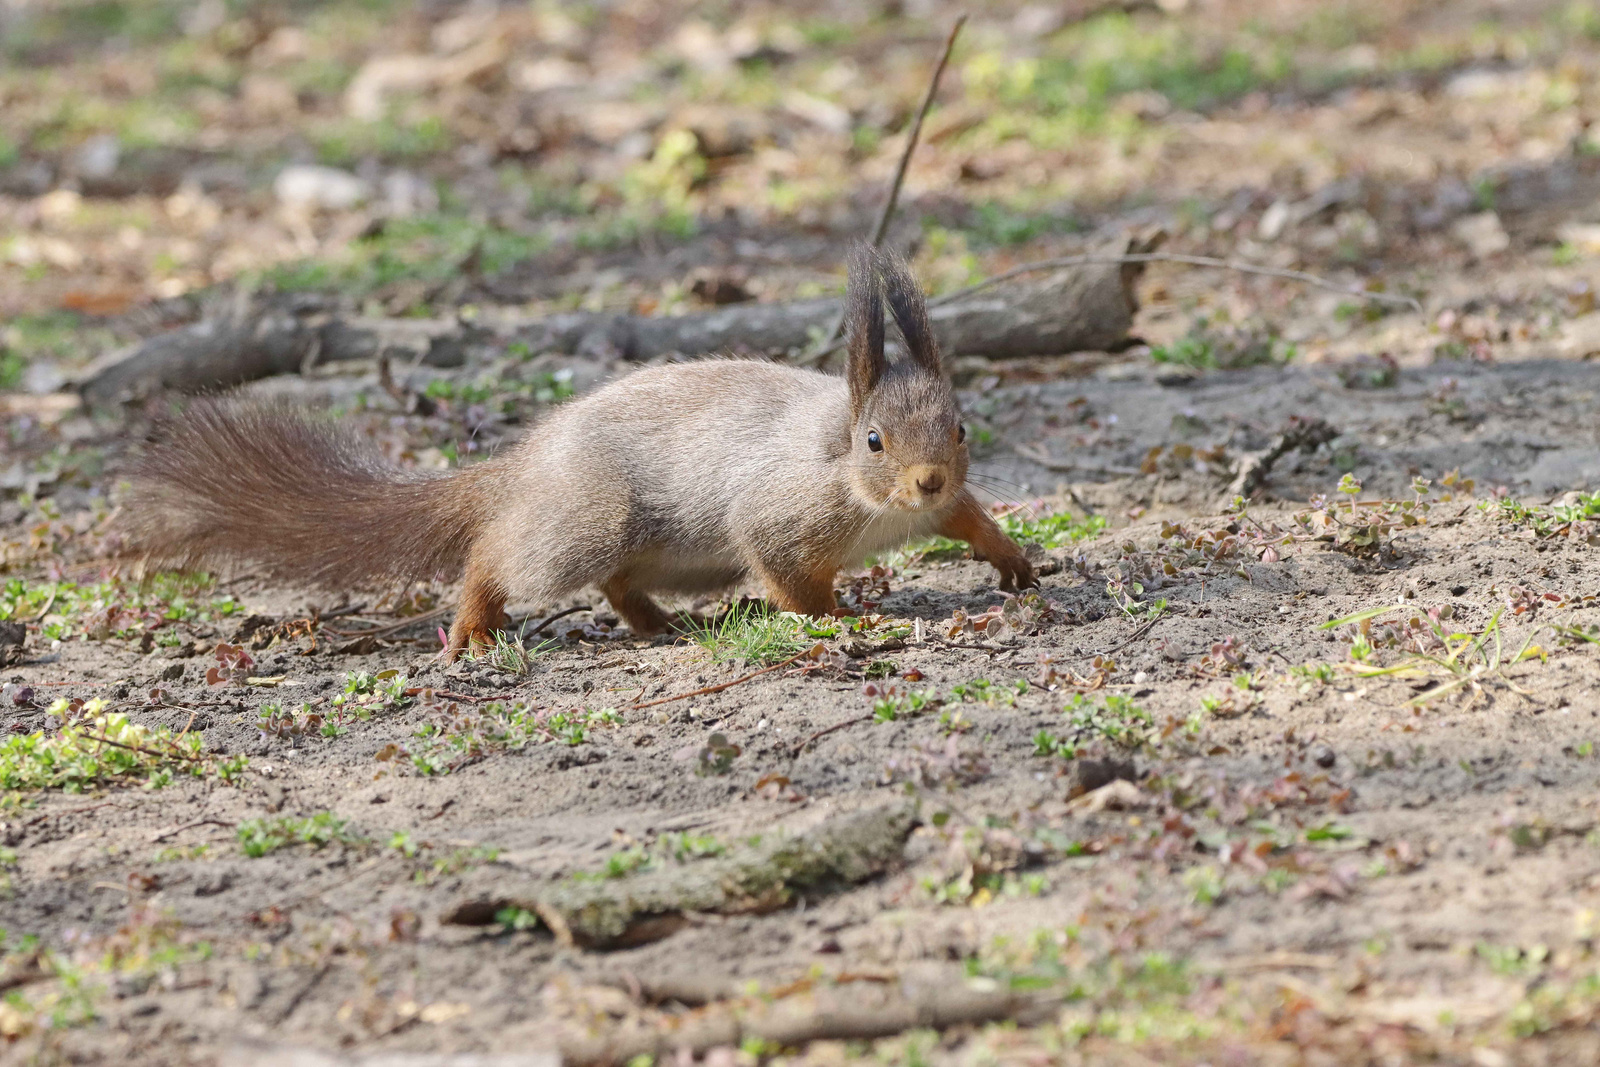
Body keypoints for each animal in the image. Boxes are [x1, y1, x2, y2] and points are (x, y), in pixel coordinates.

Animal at [128, 244, 1049, 655]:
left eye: (961, 427)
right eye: (873, 440)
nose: (926, 479)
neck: (863, 496)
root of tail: (524, 467)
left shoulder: (937, 507)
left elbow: (971, 520)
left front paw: (1015, 561)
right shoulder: (784, 510)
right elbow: (789, 575)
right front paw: (838, 615)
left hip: (673, 555)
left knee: (617, 585)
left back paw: (659, 623)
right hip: (590, 522)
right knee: (501, 556)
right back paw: (475, 622)